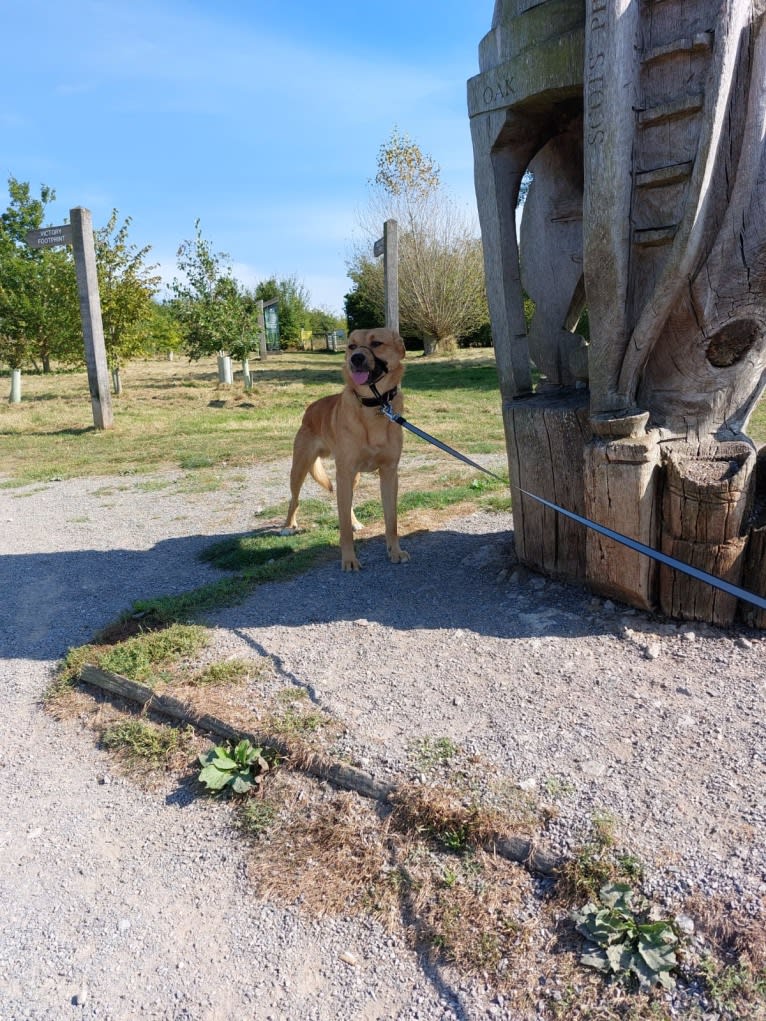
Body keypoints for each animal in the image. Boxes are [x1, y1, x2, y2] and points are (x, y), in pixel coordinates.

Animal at [281, 326, 410, 571]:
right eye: (351, 346)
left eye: (376, 343)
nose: (355, 358)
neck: (374, 406)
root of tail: (310, 409)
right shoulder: (344, 472)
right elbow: (343, 531)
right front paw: (349, 559)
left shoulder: (389, 474)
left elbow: (392, 521)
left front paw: (395, 551)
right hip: (300, 468)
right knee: (294, 499)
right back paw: (288, 525)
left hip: (352, 476)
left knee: (346, 504)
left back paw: (354, 522)